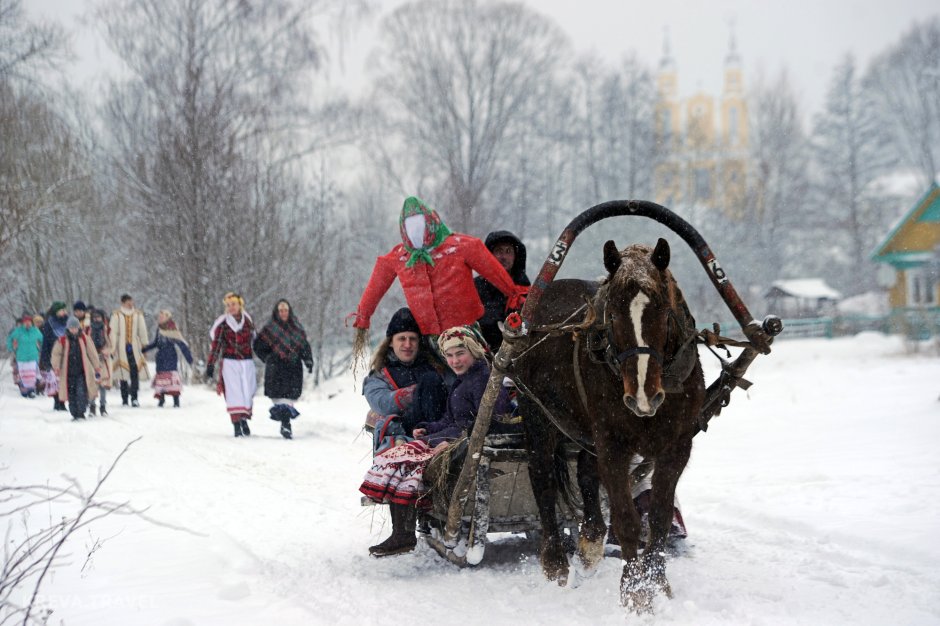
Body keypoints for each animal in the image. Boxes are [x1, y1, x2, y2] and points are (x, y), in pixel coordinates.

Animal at [516, 236, 704, 608]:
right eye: (613, 315)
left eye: (662, 310)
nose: (644, 397)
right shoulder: (614, 445)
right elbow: (627, 519)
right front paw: (635, 593)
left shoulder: (677, 446)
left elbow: (659, 516)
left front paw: (658, 583)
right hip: (537, 414)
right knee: (543, 477)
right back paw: (556, 563)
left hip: (588, 432)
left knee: (586, 474)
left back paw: (590, 541)